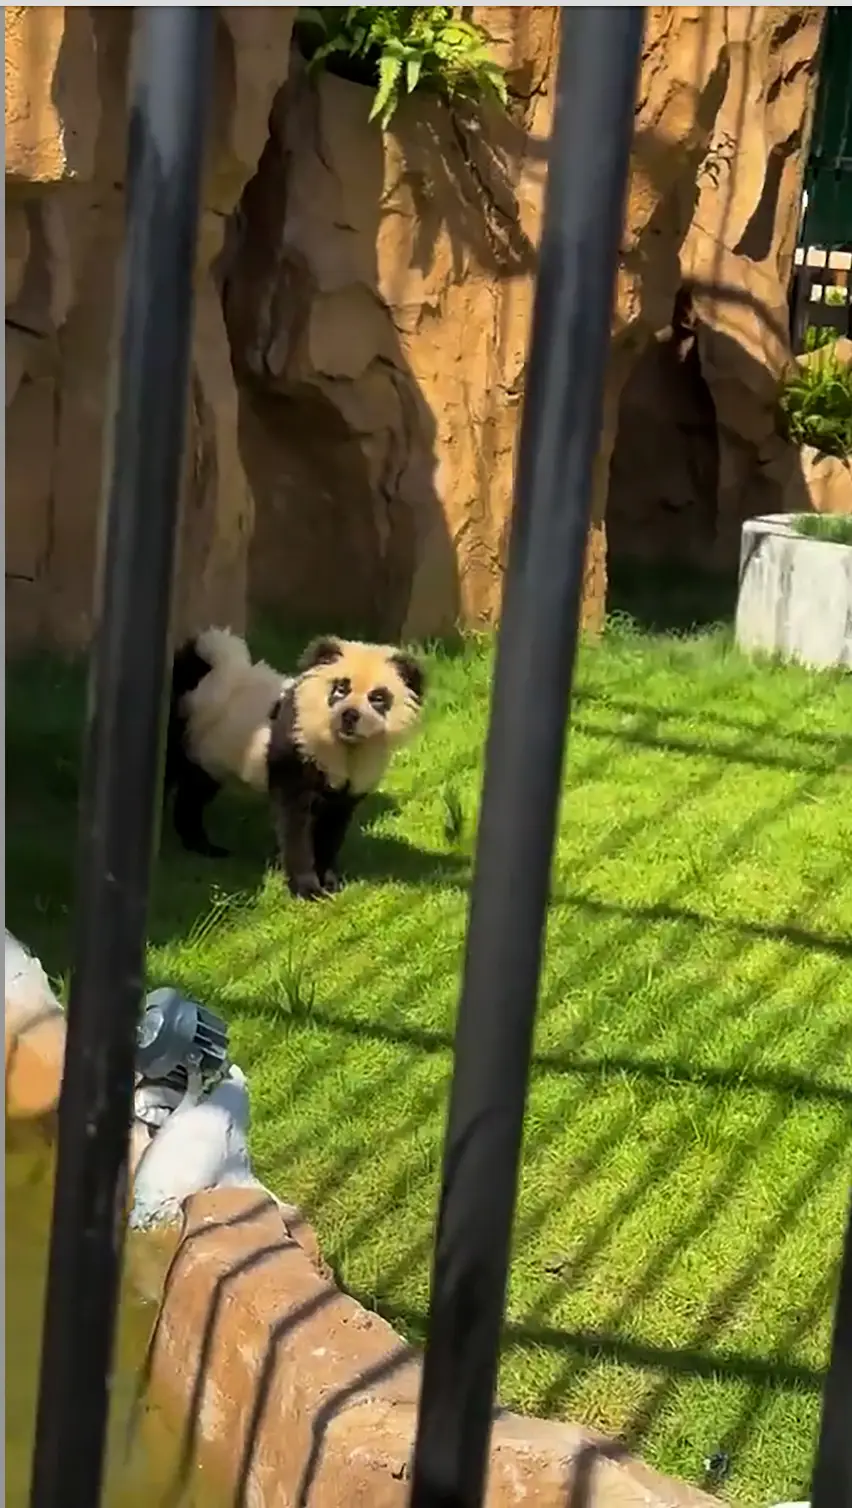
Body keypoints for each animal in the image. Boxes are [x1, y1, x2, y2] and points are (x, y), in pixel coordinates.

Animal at [164, 627, 426, 900]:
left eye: (377, 698)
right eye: (340, 689)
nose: (349, 716)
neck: (343, 746)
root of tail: (198, 668)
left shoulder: (347, 788)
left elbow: (332, 830)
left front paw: (330, 883)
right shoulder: (295, 755)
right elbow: (295, 827)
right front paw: (307, 890)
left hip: (211, 753)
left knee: (193, 795)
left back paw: (203, 846)